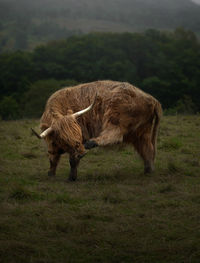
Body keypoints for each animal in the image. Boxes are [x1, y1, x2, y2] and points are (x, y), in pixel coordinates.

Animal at [31, 80, 162, 183]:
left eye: (78, 133)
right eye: (63, 139)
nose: (81, 151)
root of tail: (151, 98)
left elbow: (71, 160)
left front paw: (70, 178)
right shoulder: (53, 144)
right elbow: (53, 158)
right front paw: (51, 174)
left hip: (115, 114)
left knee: (115, 133)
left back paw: (92, 142)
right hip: (141, 132)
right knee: (147, 149)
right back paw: (148, 170)